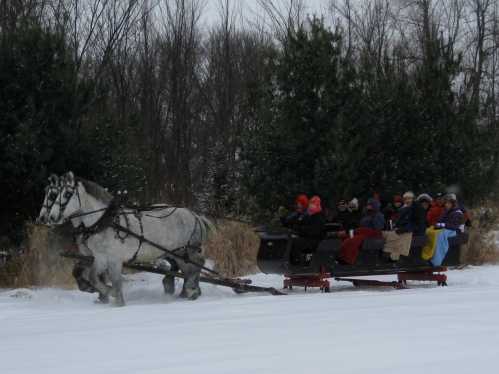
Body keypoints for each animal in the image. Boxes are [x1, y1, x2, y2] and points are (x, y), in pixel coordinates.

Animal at [48, 172, 215, 306]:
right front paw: (107, 293)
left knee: (198, 264)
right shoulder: (100, 257)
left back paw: (191, 290)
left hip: (186, 250)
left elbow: (115, 282)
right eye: (55, 194)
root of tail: (195, 215)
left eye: (67, 194)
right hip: (177, 252)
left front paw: (118, 301)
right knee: (188, 269)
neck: (105, 222)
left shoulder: (114, 259)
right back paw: (186, 291)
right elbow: (93, 277)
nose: (51, 217)